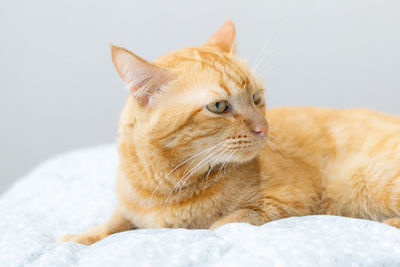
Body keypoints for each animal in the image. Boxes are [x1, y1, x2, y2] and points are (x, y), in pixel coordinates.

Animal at [58, 19, 400, 246]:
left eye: (256, 98)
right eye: (219, 106)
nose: (264, 129)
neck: (169, 188)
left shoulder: (293, 200)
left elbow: (225, 224)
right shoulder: (129, 209)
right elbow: (114, 222)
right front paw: (80, 237)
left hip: (365, 180)